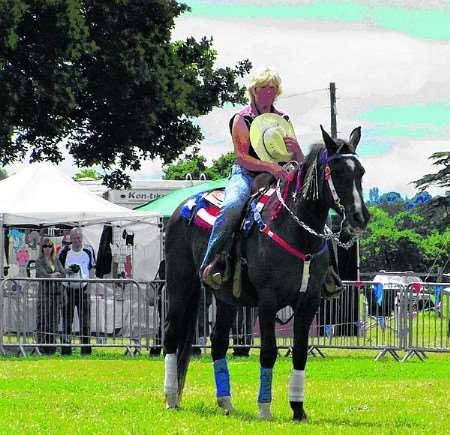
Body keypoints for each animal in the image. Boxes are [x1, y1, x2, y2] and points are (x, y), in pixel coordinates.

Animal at [162, 125, 370, 422]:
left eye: (360, 172)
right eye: (339, 171)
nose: (360, 217)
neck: (296, 232)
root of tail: (181, 209)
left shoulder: (308, 302)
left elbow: (300, 353)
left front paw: (298, 410)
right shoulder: (268, 301)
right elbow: (269, 352)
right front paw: (264, 408)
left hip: (226, 299)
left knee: (218, 341)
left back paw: (226, 403)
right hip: (181, 284)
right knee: (171, 333)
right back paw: (170, 397)